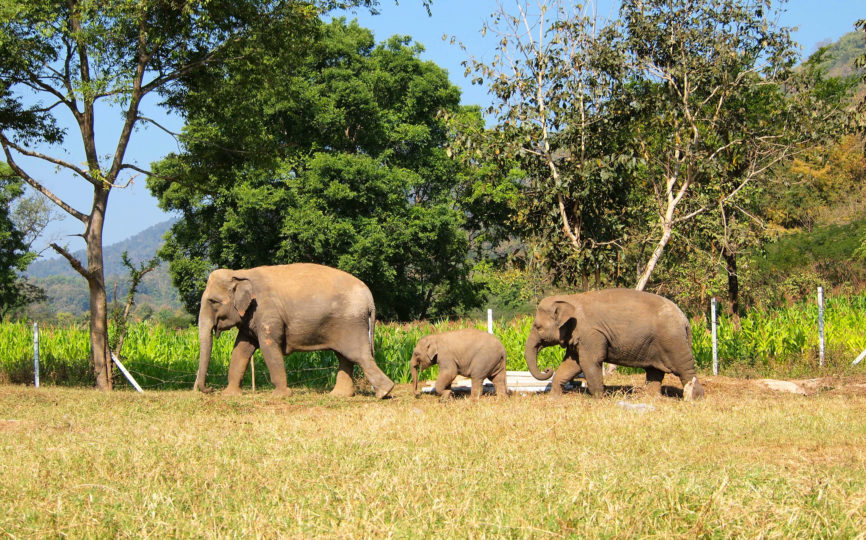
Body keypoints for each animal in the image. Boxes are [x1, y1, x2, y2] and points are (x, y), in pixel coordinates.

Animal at [194, 264, 394, 398]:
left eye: (213, 301)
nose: (210, 389)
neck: (241, 273)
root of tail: (369, 297)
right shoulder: (250, 318)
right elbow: (241, 350)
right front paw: (229, 395)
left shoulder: (267, 313)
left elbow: (269, 347)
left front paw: (280, 396)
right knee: (345, 357)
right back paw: (339, 395)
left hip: (351, 323)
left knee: (358, 354)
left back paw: (385, 392)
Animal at [520, 288, 704, 398]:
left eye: (537, 327)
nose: (547, 369)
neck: (571, 299)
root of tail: (685, 320)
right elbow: (571, 364)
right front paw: (555, 397)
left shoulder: (591, 333)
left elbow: (589, 362)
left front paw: (598, 399)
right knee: (654, 371)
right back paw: (651, 398)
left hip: (672, 341)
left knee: (684, 368)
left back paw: (694, 396)